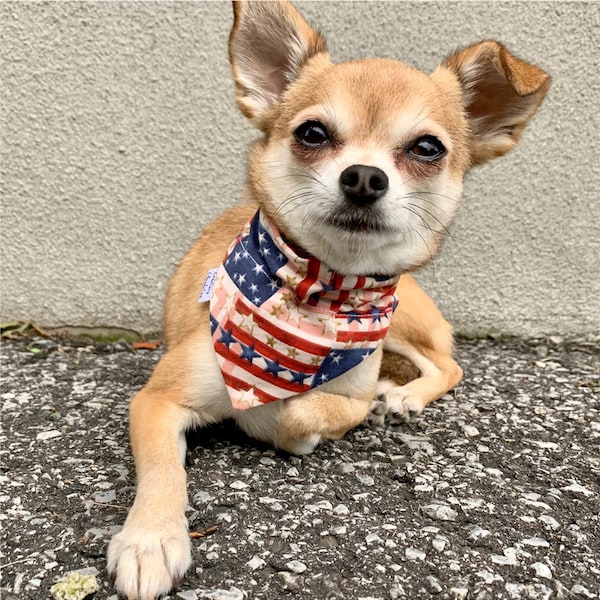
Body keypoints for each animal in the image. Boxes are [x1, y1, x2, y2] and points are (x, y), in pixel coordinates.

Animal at [106, 2, 548, 596]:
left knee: (447, 365)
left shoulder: (349, 389)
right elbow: (162, 468)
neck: (319, 292)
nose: (363, 176)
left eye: (427, 148)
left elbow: (310, 410)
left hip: (400, 323)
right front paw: (150, 538)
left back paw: (403, 397)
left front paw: (296, 423)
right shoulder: (157, 401)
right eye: (312, 133)